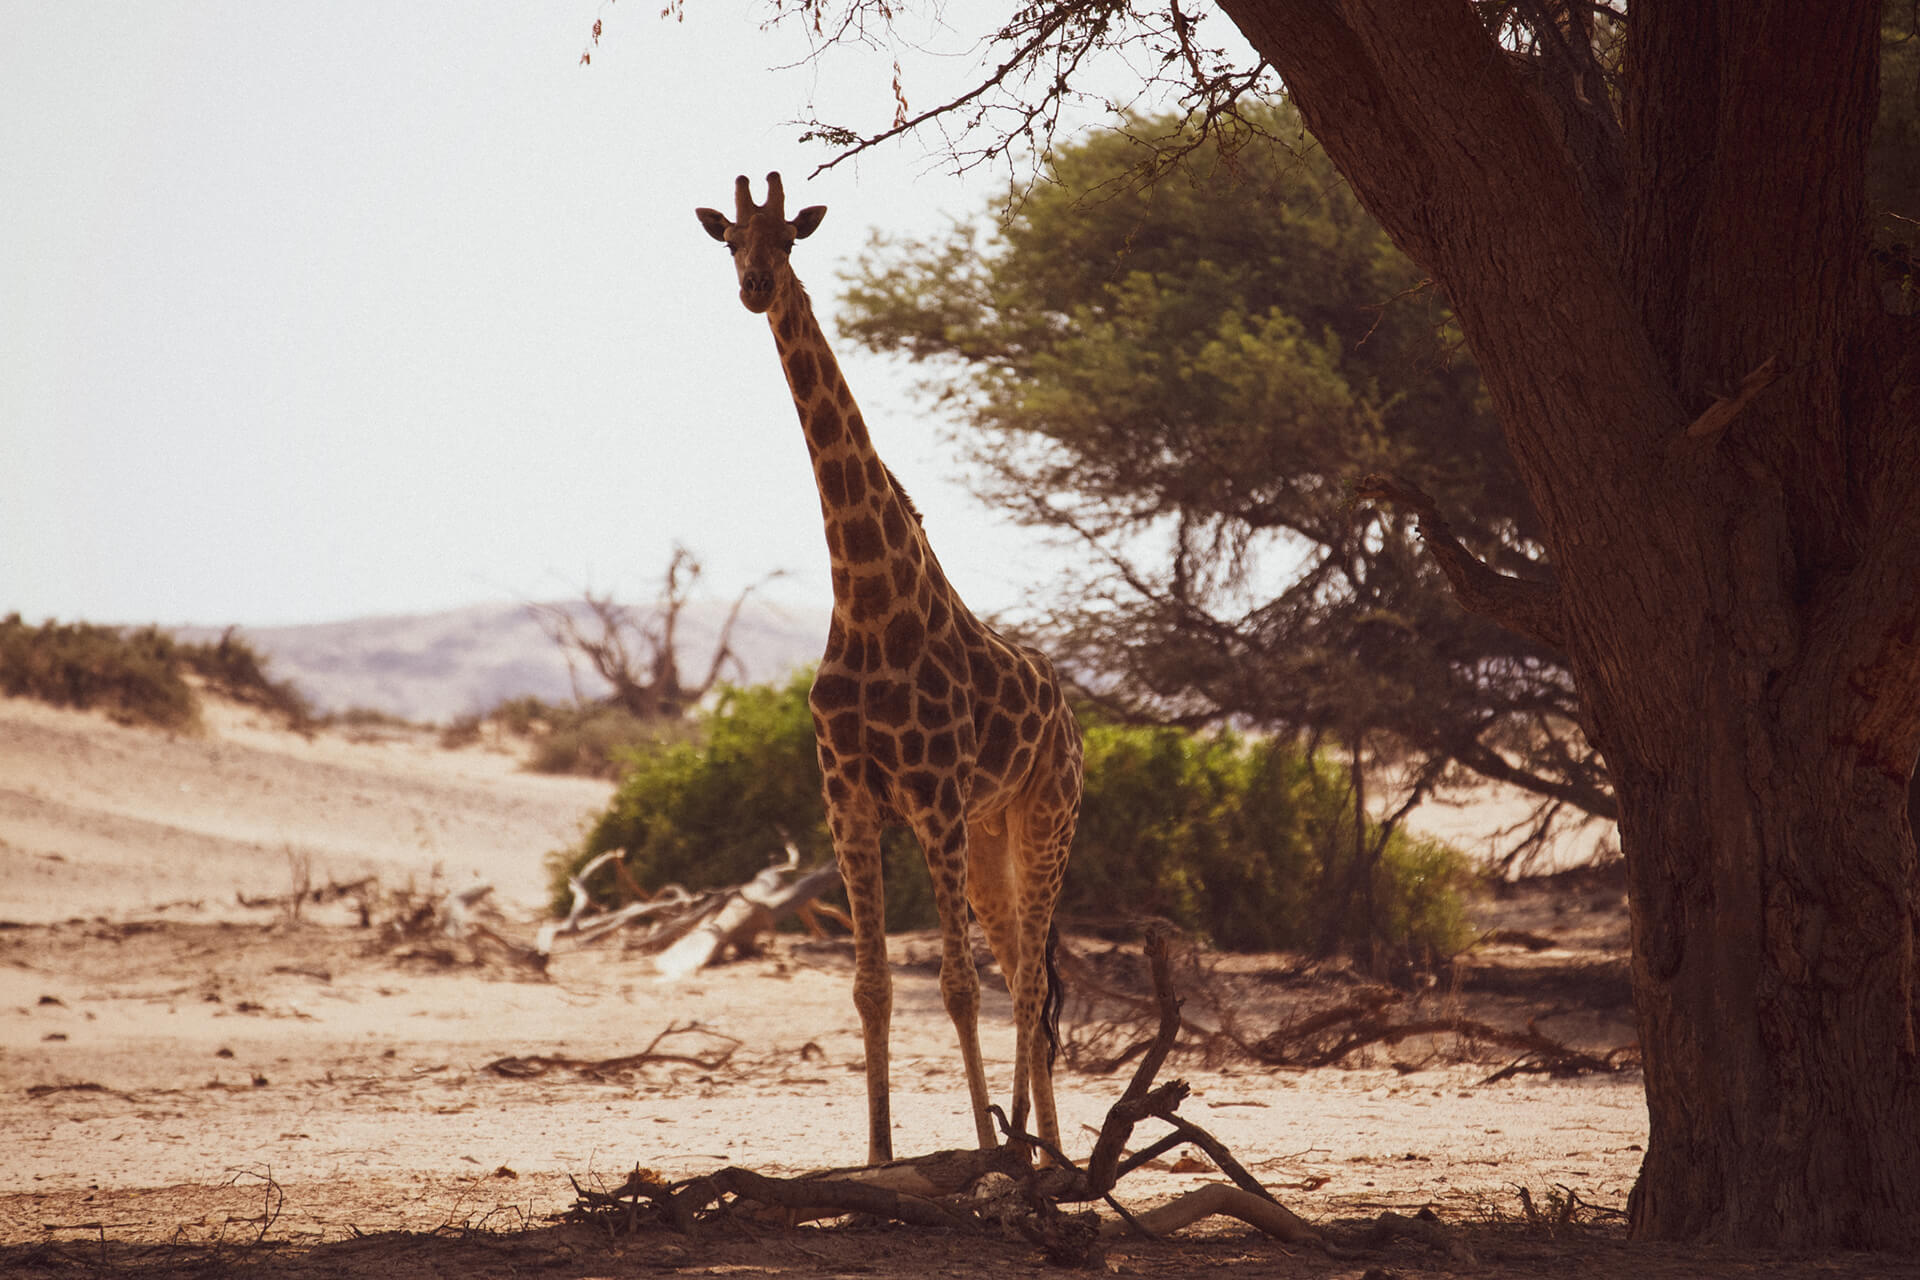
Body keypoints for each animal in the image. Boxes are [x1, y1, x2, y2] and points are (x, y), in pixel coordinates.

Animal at [695, 175, 1082, 1166]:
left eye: (790, 238)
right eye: (730, 242)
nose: (754, 288)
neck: (869, 596)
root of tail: (1071, 714)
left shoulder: (933, 796)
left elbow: (951, 984)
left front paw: (979, 1157)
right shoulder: (849, 797)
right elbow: (871, 986)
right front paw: (877, 1158)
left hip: (1046, 815)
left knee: (1027, 981)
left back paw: (1037, 1153)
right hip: (990, 835)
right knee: (1023, 970)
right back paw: (1037, 1144)